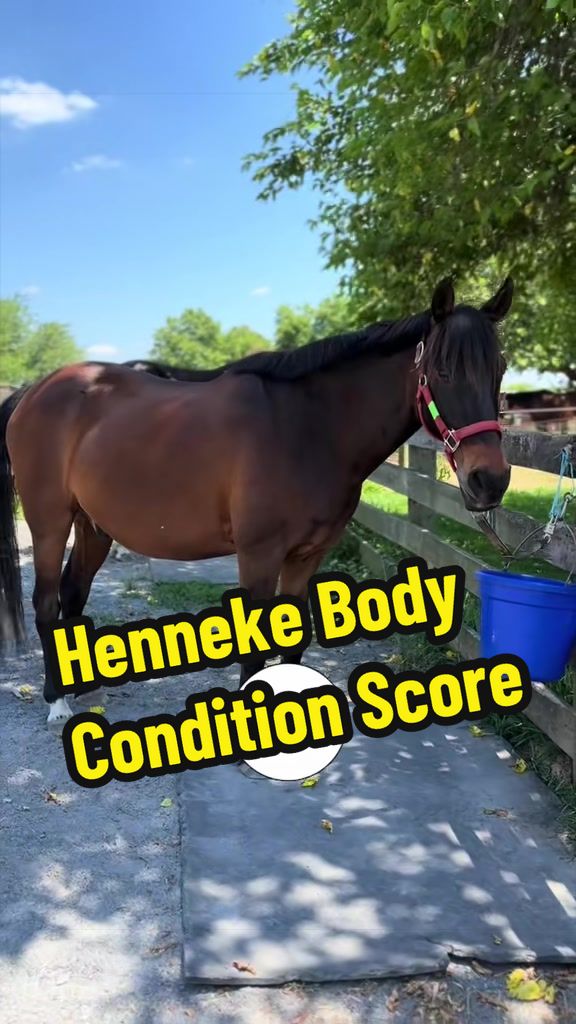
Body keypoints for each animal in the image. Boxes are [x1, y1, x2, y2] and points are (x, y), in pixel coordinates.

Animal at [0, 277, 513, 726]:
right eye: (443, 371)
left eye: (500, 370)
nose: (489, 480)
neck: (306, 426)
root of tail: (33, 391)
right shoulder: (259, 554)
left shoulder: (307, 555)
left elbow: (294, 637)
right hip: (50, 522)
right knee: (47, 601)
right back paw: (56, 702)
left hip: (93, 525)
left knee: (74, 593)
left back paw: (82, 688)